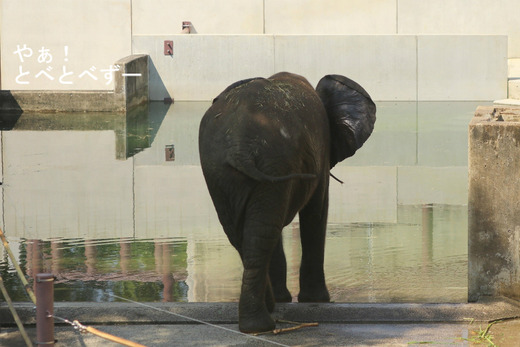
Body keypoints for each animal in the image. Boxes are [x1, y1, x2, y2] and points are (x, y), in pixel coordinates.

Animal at [198, 71, 374, 334]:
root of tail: (239, 145)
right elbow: (317, 212)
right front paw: (317, 301)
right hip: (267, 161)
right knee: (262, 231)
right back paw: (262, 322)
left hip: (224, 169)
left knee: (247, 233)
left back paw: (263, 314)